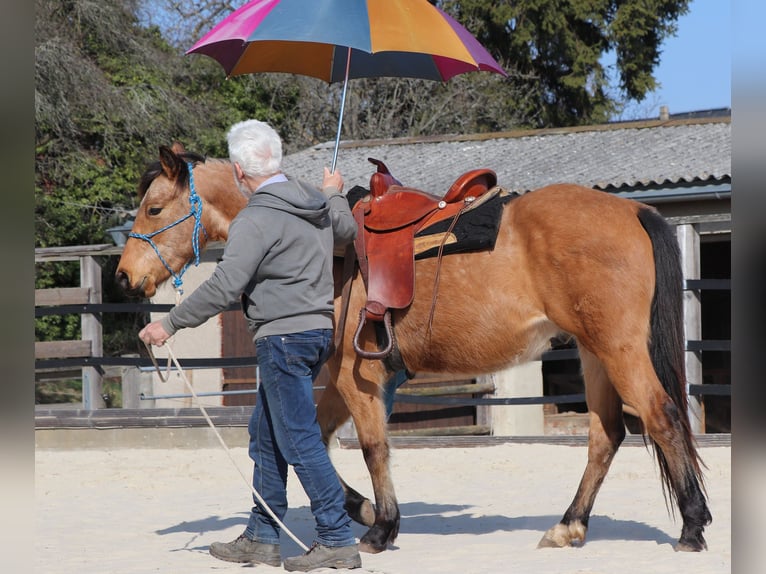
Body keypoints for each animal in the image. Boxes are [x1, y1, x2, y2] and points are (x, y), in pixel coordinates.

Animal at [116, 145, 711, 554]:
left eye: (153, 208)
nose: (123, 276)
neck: (323, 244)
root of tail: (632, 211)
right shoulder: (339, 381)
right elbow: (311, 442)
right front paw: (360, 508)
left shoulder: (357, 377)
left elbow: (372, 447)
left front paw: (380, 527)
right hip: (593, 353)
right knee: (606, 436)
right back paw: (569, 525)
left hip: (618, 349)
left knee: (660, 416)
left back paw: (691, 526)